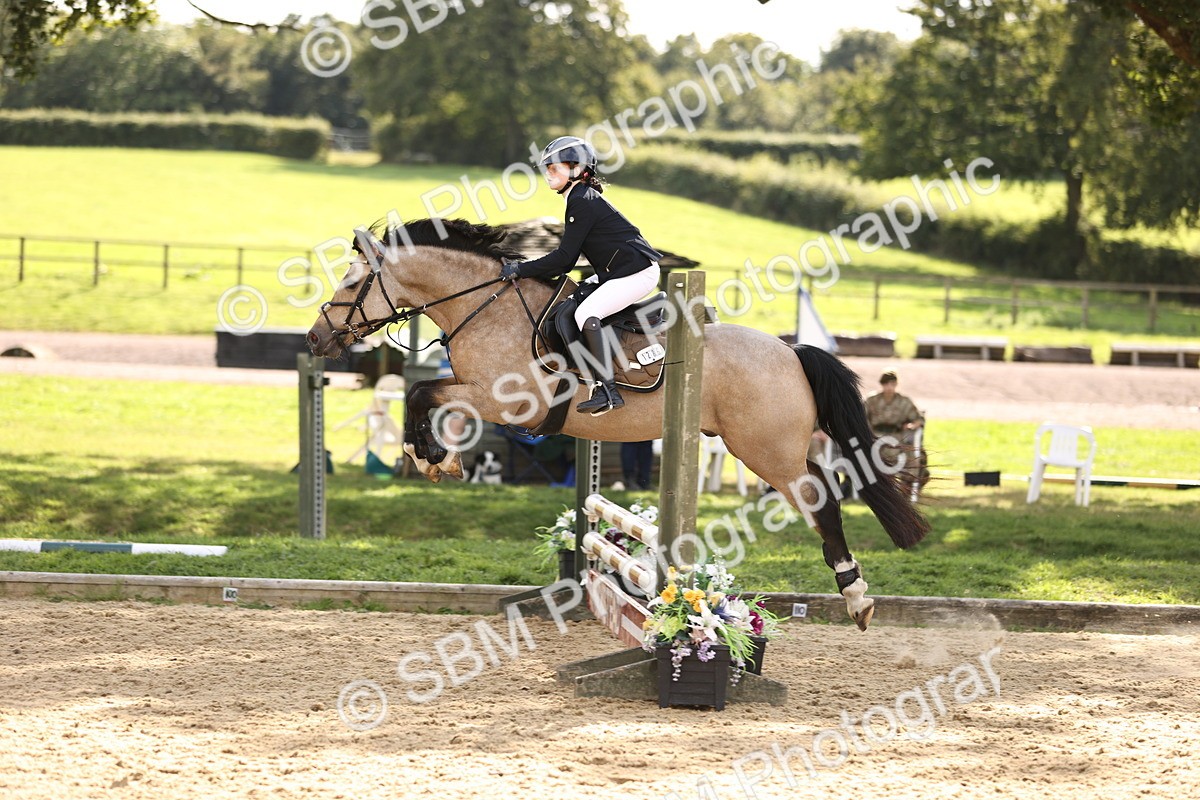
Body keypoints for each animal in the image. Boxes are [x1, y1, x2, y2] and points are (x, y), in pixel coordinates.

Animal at [306, 218, 930, 630]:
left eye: (349, 284)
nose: (315, 339)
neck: (485, 308)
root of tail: (790, 351)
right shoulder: (478, 395)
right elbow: (429, 397)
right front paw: (442, 458)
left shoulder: (507, 402)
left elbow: (421, 392)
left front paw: (428, 456)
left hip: (765, 450)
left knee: (822, 499)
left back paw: (857, 597)